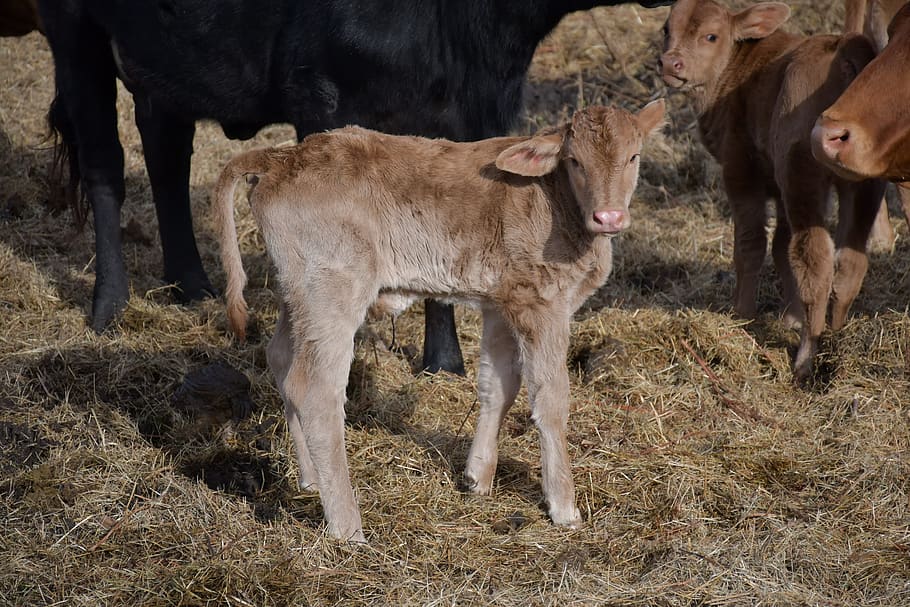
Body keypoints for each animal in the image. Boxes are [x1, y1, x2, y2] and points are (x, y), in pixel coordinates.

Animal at [38, 0, 672, 376]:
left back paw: (192, 287)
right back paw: (109, 307)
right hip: (75, 33)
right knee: (105, 165)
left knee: (166, 155)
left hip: (163, 66)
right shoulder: (323, 98)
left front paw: (443, 363)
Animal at [212, 100, 666, 541]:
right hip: (334, 290)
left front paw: (478, 478)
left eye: (633, 156)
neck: (557, 202)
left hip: (298, 294)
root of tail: (287, 155)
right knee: (317, 391)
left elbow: (498, 385)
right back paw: (347, 527)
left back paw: (309, 479)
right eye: (574, 161)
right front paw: (564, 506)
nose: (609, 217)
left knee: (282, 361)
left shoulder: (501, 302)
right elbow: (551, 399)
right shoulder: (541, 304)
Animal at [659, 0, 887, 382]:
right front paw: (789, 317)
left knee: (815, 258)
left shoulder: (740, 170)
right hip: (864, 182)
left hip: (800, 172)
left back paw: (805, 358)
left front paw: (741, 314)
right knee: (849, 259)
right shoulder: (777, 185)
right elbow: (780, 246)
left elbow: (750, 244)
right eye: (665, 30)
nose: (670, 62)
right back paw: (836, 337)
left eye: (711, 36)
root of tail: (844, 49)